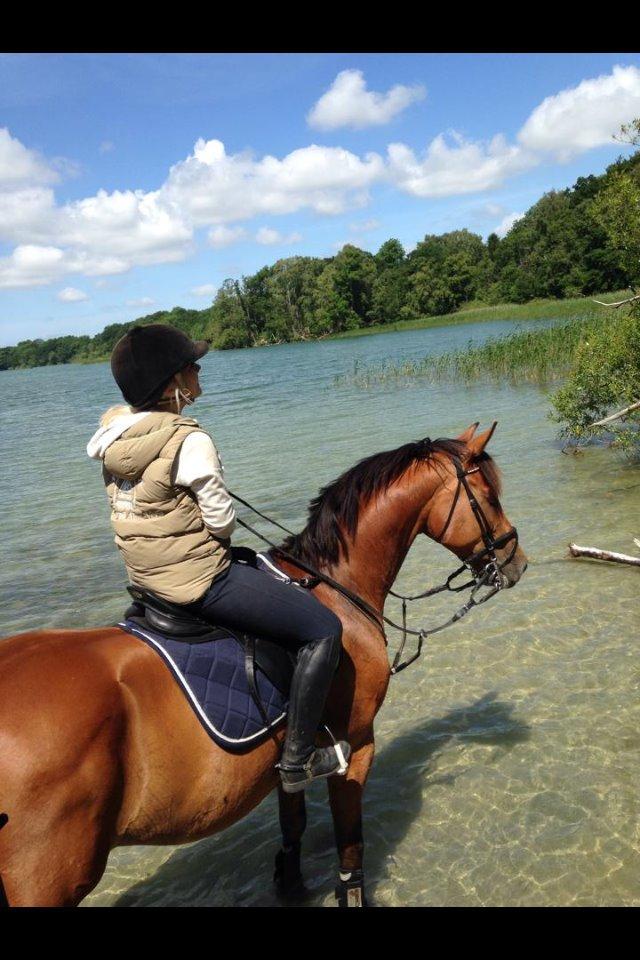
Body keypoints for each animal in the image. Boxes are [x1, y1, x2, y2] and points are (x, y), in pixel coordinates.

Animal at [0, 422, 524, 908]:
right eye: (489, 496)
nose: (516, 561)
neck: (334, 586)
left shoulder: (289, 755)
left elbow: (293, 826)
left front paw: (290, 884)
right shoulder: (357, 745)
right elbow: (350, 846)